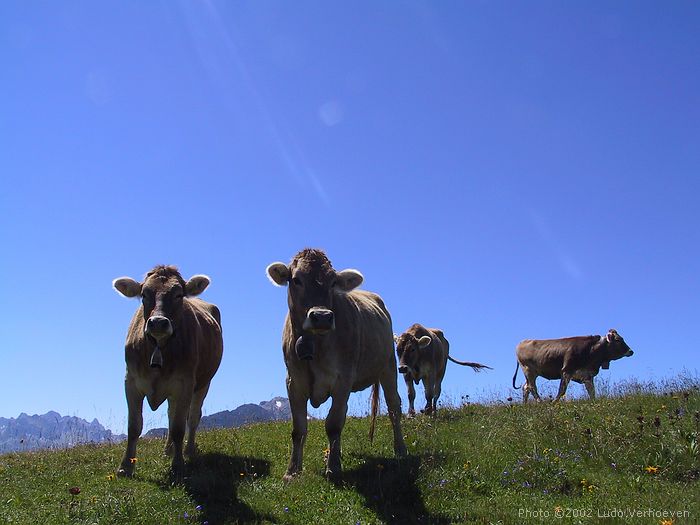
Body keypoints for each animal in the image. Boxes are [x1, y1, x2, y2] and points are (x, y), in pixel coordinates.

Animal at [112, 266, 223, 478]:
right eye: (144, 294)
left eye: (179, 294)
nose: (157, 322)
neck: (159, 347)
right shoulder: (131, 382)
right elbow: (134, 426)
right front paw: (125, 466)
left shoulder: (185, 383)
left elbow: (179, 427)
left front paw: (178, 466)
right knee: (171, 415)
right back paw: (168, 450)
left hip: (204, 383)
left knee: (193, 416)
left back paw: (188, 451)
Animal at [266, 248, 408, 482]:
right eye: (296, 280)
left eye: (333, 282)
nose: (322, 316)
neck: (315, 347)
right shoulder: (293, 382)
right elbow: (299, 429)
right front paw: (292, 471)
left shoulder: (343, 380)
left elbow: (333, 424)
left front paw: (333, 468)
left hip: (388, 365)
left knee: (393, 406)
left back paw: (401, 450)